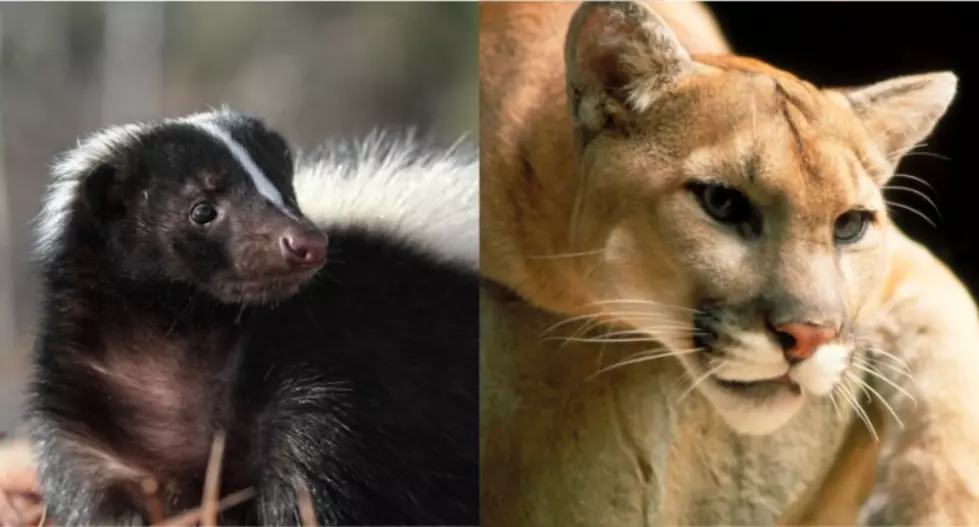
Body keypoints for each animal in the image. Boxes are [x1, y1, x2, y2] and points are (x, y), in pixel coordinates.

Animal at [22, 109, 478, 524]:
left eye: (287, 193)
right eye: (202, 210)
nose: (306, 241)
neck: (183, 335)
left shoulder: (326, 383)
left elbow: (309, 483)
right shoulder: (92, 438)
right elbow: (98, 507)